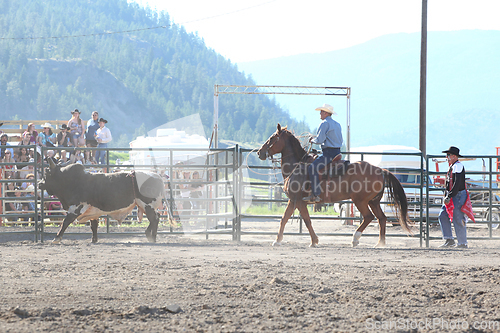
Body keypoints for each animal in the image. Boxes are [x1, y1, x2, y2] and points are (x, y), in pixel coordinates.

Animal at [256, 123, 412, 245]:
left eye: (272, 138)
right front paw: (277, 240)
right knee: (382, 218)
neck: (297, 166)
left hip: (360, 201)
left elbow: (306, 220)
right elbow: (284, 219)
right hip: (373, 201)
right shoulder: (293, 200)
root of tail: (380, 170)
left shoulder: (299, 201)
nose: (259, 152)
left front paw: (314, 241)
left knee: (369, 217)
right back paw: (380, 243)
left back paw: (355, 239)